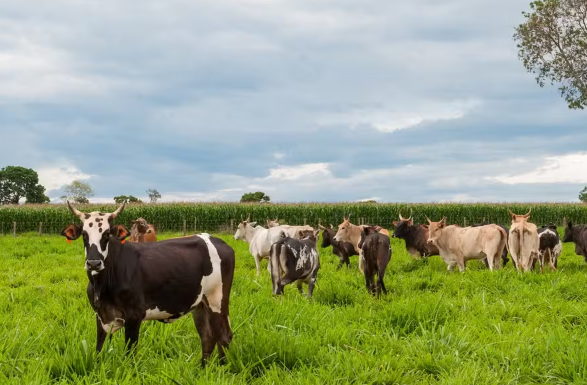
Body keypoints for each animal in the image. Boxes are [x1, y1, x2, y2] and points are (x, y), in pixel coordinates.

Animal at [59, 201, 234, 366]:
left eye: (107, 234)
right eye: (84, 235)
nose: (94, 263)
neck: (101, 286)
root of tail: (218, 241)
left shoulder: (134, 316)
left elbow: (130, 354)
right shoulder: (101, 315)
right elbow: (99, 350)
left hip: (217, 300)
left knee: (224, 336)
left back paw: (221, 368)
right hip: (200, 304)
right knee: (207, 337)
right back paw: (203, 368)